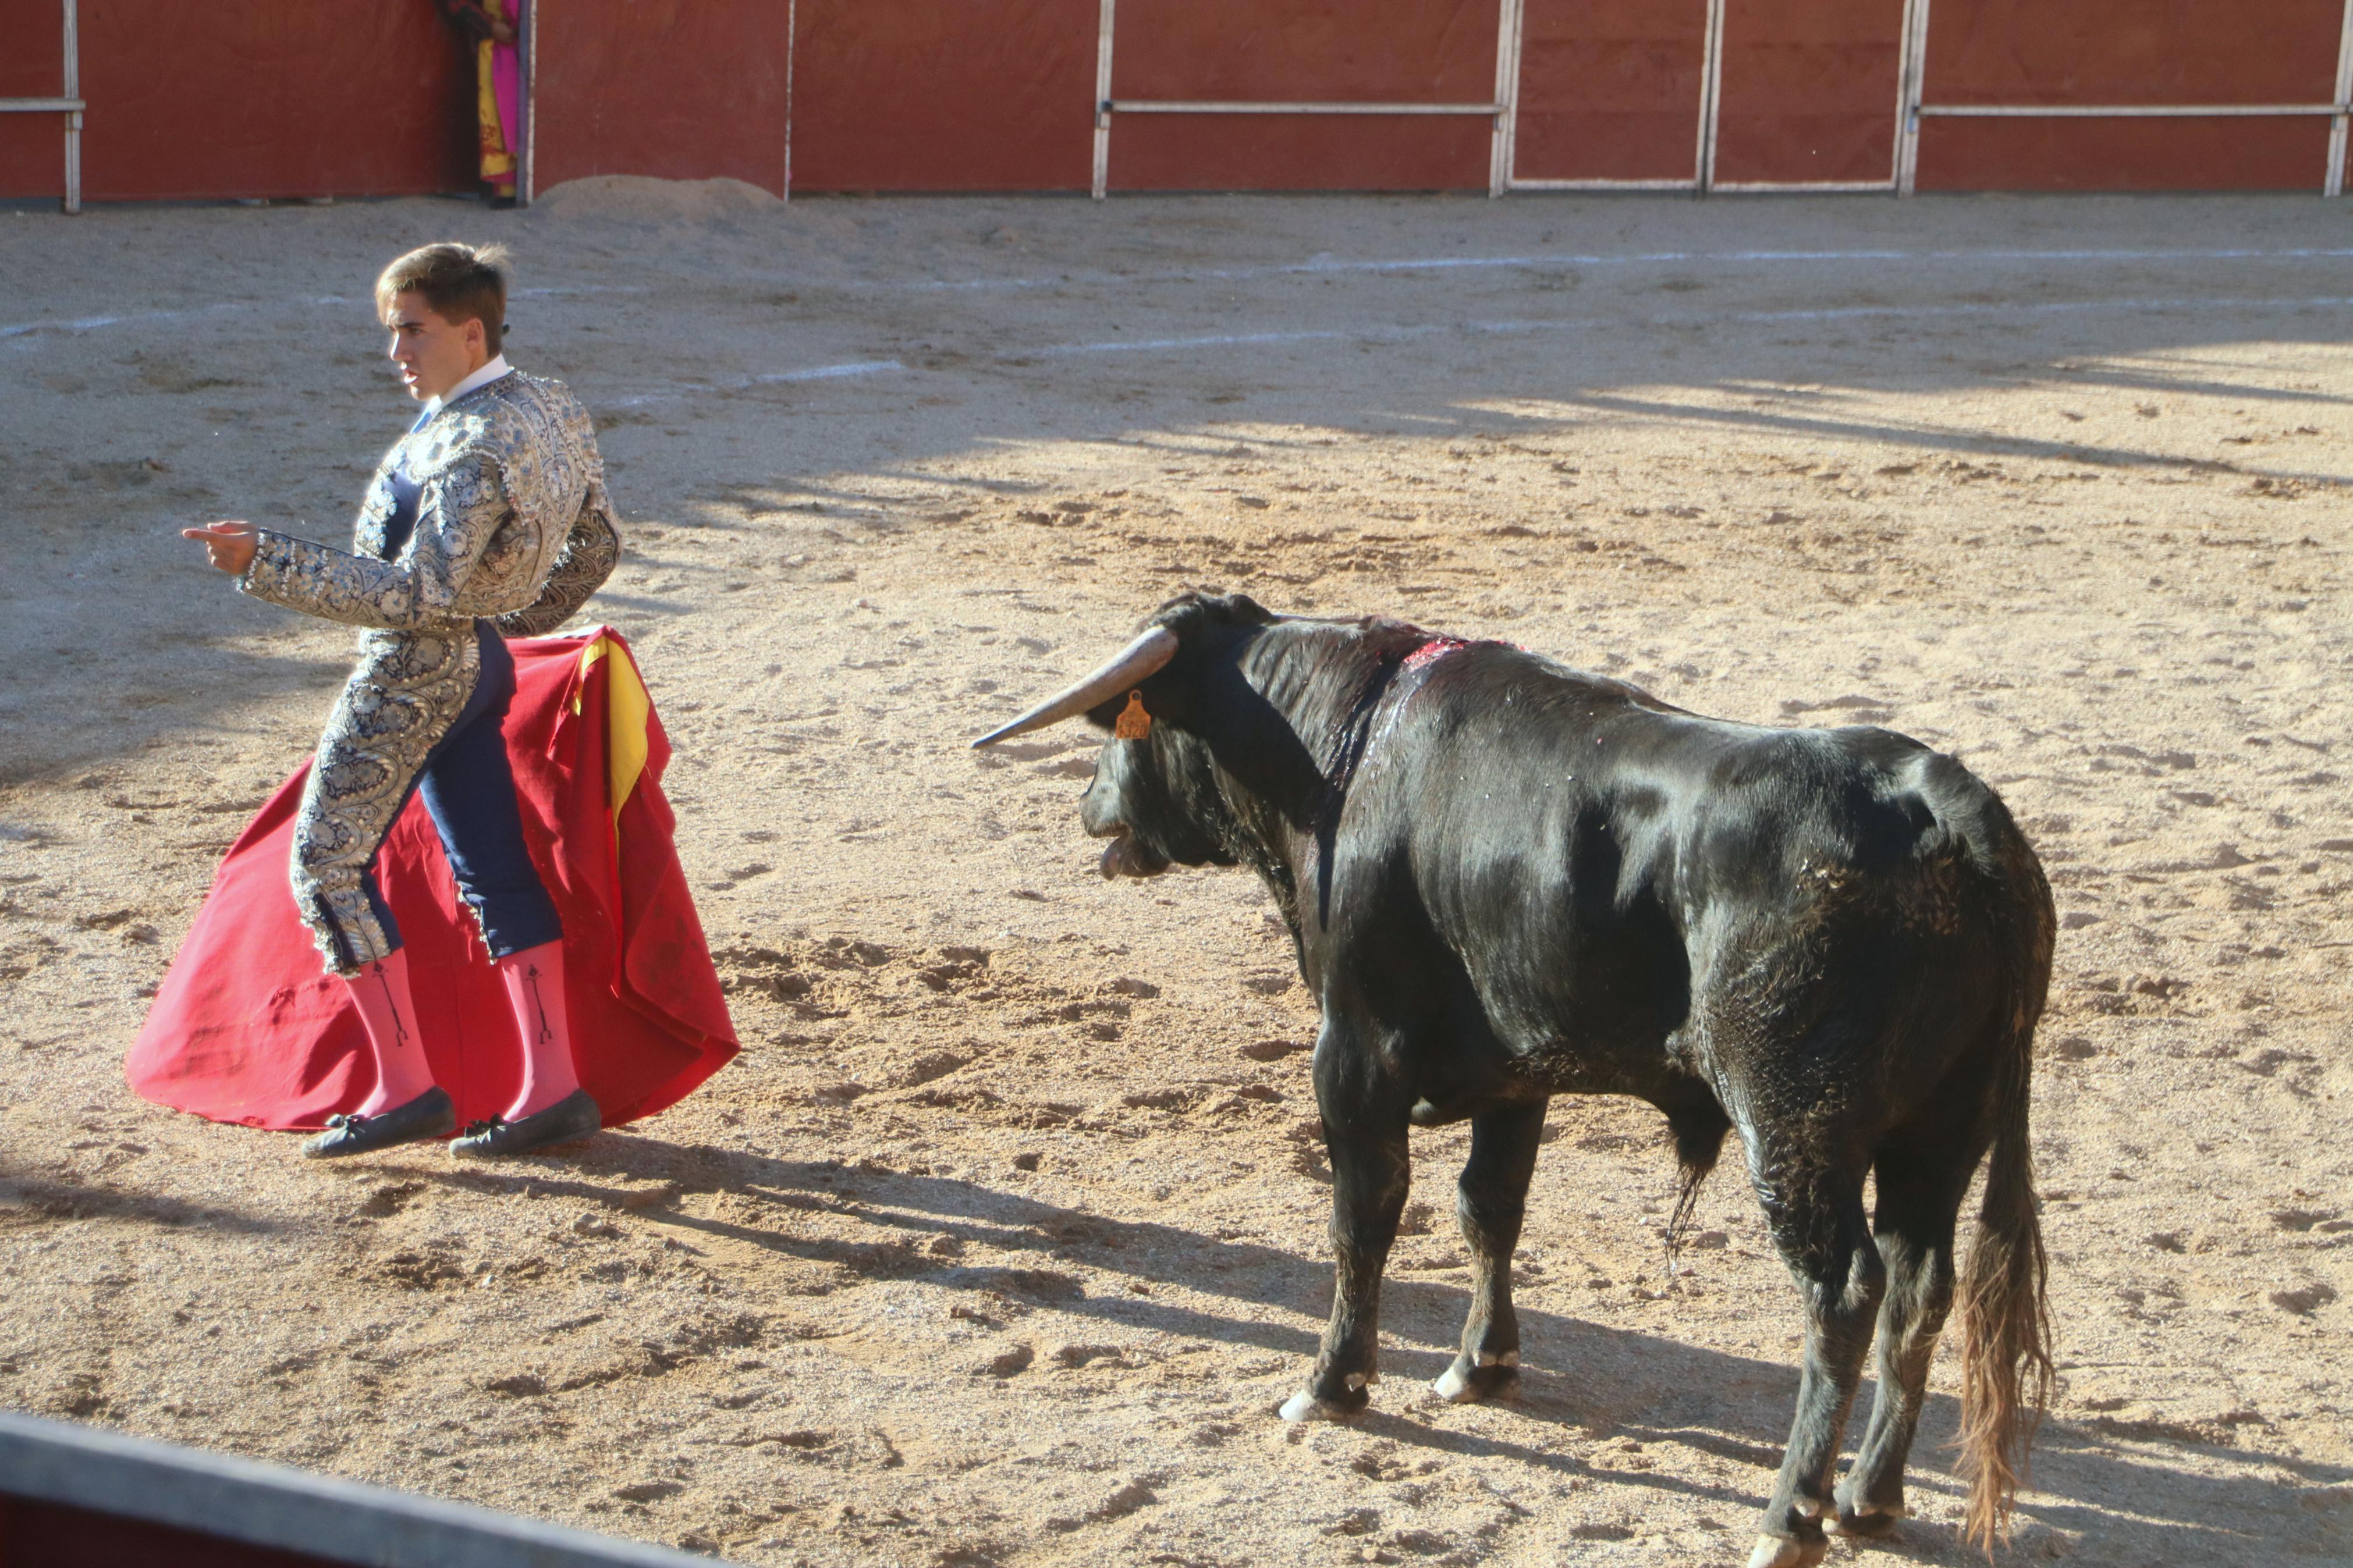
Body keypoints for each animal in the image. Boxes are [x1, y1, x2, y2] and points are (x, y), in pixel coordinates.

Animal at [964, 595, 2052, 1560]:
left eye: (1130, 727)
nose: (1087, 804)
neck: (1342, 752)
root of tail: (1936, 803)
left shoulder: (1351, 1052)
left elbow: (1363, 1215)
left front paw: (1332, 1383)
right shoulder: (1517, 1072)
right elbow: (1487, 1207)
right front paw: (1478, 1366)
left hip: (1794, 1128)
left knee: (1842, 1293)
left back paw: (1790, 1518)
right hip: (1939, 1132)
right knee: (1919, 1285)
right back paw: (1868, 1499)